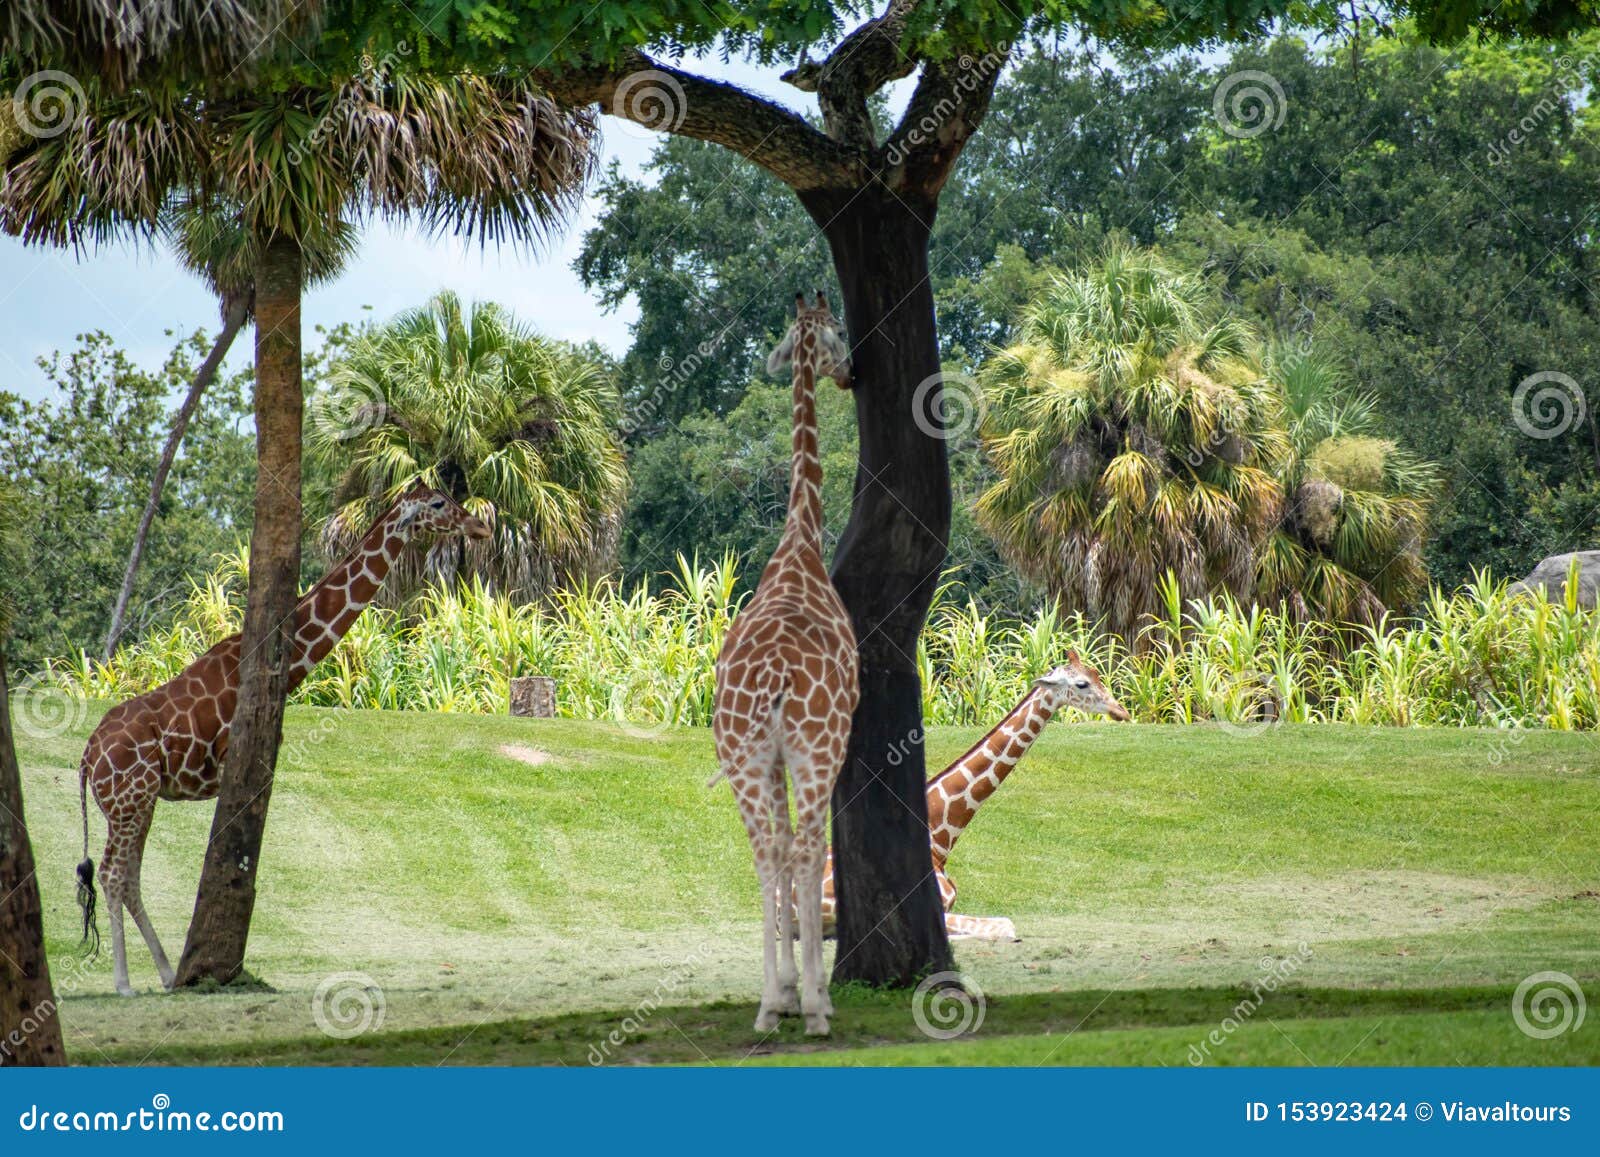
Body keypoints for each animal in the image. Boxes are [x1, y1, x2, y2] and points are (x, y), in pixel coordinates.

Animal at [76, 480, 486, 998]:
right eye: (438, 504)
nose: (481, 526)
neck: (287, 666)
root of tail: (87, 758)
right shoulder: (238, 765)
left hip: (137, 801)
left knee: (127, 876)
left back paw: (169, 974)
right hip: (130, 798)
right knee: (113, 874)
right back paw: (126, 984)